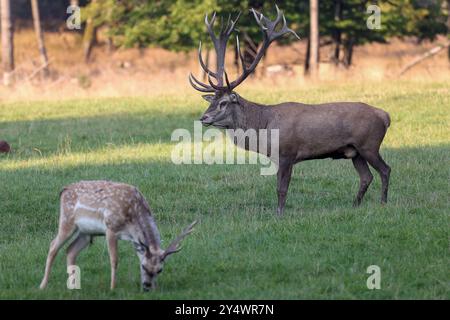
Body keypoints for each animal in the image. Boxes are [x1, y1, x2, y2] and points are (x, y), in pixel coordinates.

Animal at [39, 181, 198, 292]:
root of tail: (63, 191)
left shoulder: (135, 240)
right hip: (67, 221)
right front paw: (112, 287)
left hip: (86, 232)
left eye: (159, 270)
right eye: (143, 266)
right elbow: (114, 259)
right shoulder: (111, 228)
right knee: (53, 246)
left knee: (70, 250)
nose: (147, 286)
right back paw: (43, 285)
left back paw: (73, 286)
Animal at [189, 5, 390, 215]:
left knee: (385, 170)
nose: (204, 117)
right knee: (366, 177)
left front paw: (279, 213)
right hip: (355, 151)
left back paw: (383, 202)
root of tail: (385, 116)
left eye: (224, 102)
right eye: (212, 100)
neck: (263, 127)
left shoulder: (287, 153)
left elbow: (281, 187)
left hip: (369, 145)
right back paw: (355, 204)